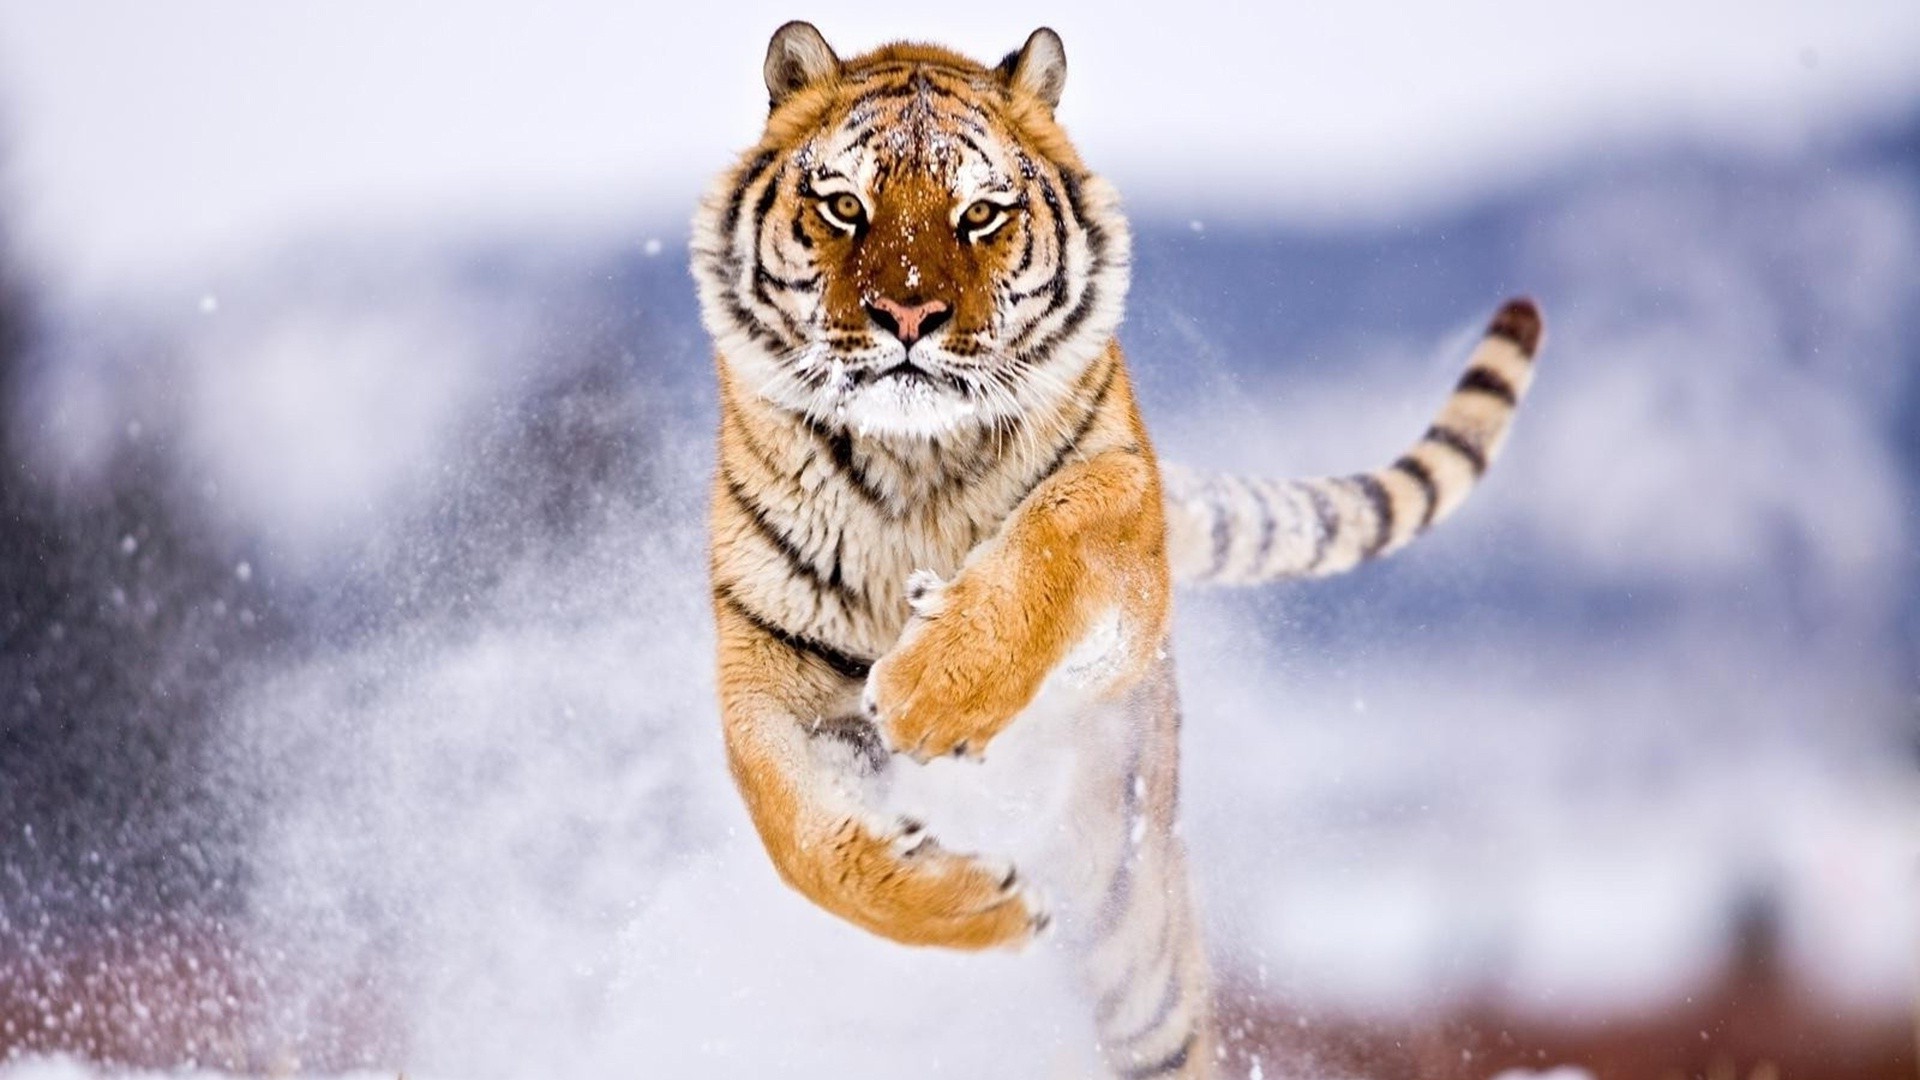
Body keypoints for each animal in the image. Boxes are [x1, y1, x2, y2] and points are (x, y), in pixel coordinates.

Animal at [691, 21, 1543, 1068]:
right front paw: (981, 905)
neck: (912, 461)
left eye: (980, 214)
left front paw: (933, 691)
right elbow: (799, 838)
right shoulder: (768, 662)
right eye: (845, 204)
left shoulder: (1125, 530)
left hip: (1137, 939)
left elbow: (1059, 529)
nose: (910, 315)